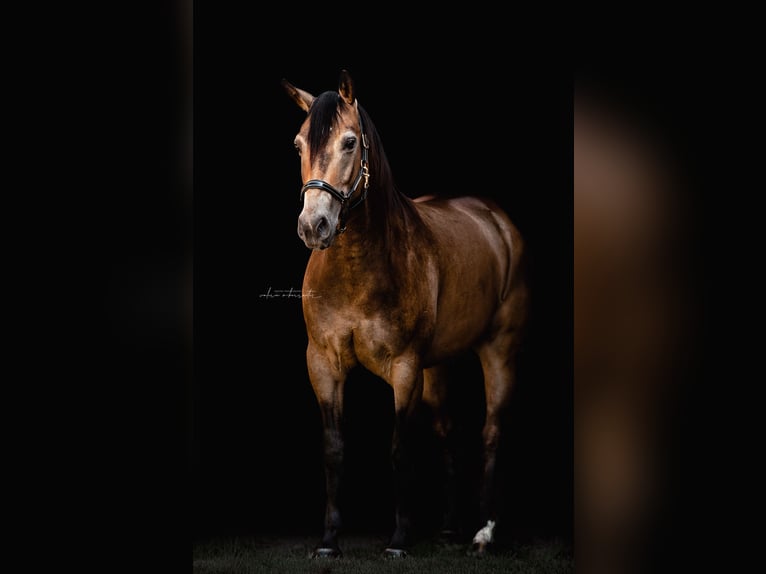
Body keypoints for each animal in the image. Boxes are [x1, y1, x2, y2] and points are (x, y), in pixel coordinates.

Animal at [282, 70, 529, 558]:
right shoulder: (322, 363)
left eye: (350, 142)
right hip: (438, 367)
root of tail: (495, 220)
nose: (313, 226)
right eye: (299, 145)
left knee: (492, 431)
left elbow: (399, 448)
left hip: (498, 350)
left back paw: (484, 533)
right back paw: (450, 528)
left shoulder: (405, 367)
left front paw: (398, 540)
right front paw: (329, 541)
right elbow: (333, 449)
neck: (358, 270)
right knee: (448, 432)